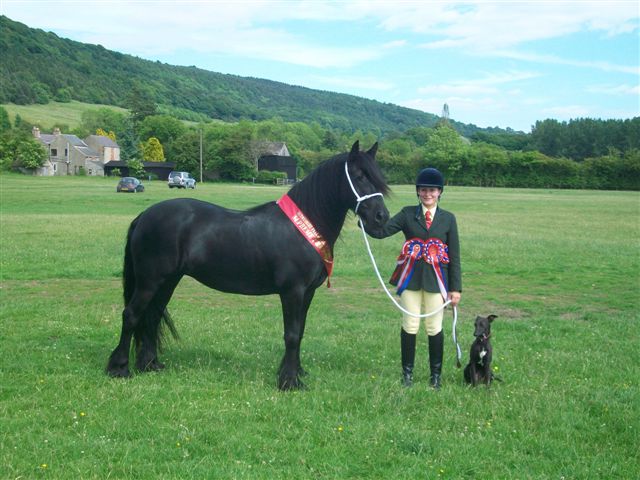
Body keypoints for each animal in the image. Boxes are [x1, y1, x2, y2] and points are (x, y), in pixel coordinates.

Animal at [106, 141, 390, 390]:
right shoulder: (292, 291)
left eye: (378, 177)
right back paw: (120, 368)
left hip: (168, 281)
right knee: (131, 315)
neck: (302, 228)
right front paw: (289, 382)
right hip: (150, 281)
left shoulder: (307, 293)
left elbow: (300, 331)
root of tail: (144, 216)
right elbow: (291, 334)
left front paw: (296, 373)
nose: (381, 218)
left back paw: (150, 364)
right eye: (359, 176)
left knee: (152, 317)